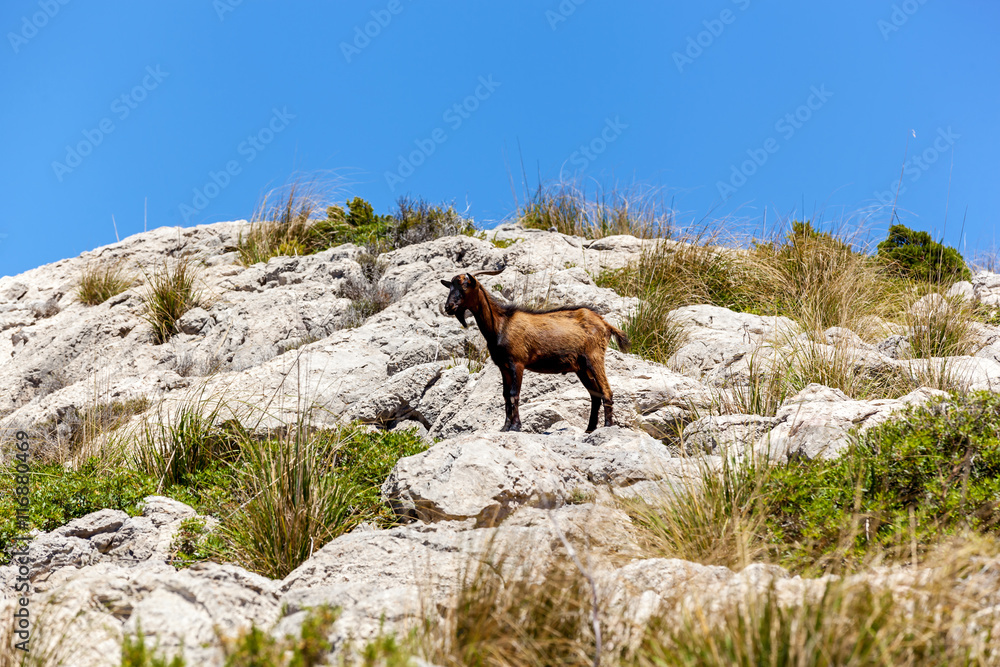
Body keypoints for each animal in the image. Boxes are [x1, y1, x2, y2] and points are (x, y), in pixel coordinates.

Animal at [441, 270, 630, 433]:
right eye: (450, 287)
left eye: (465, 285)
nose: (448, 307)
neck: (500, 325)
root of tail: (605, 324)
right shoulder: (503, 366)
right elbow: (505, 395)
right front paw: (505, 427)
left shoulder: (517, 362)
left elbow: (514, 394)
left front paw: (515, 426)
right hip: (582, 367)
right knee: (595, 394)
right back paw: (590, 429)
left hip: (594, 357)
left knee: (606, 391)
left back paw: (607, 426)